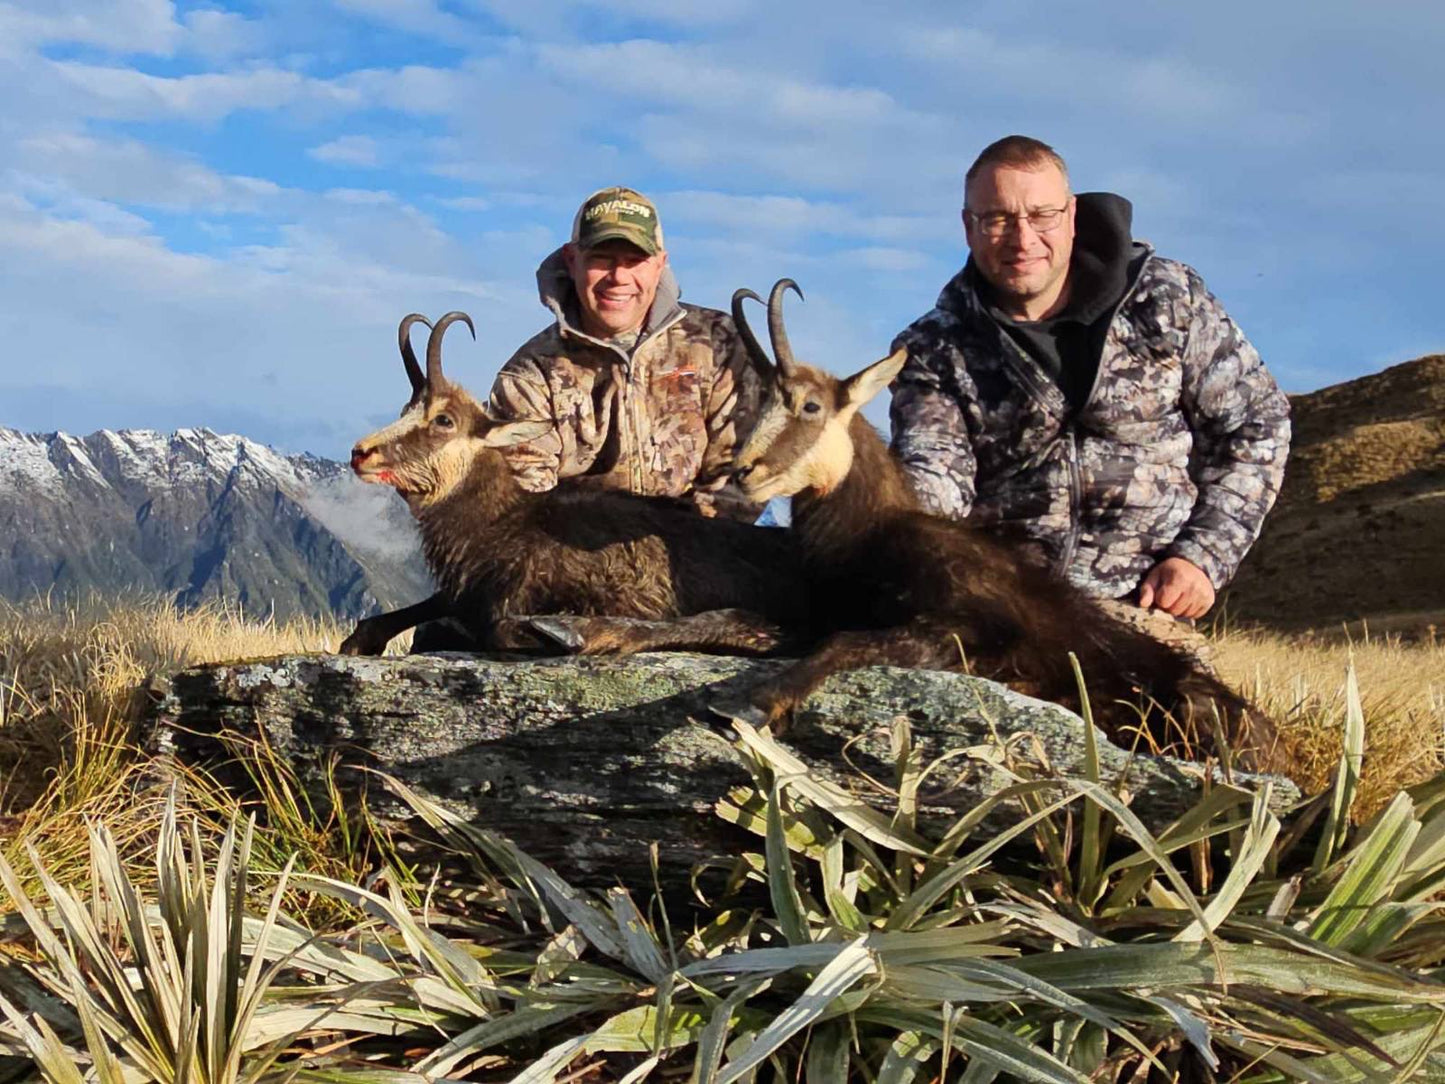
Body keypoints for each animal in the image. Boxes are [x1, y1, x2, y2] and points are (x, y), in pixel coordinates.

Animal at [338, 312, 814, 659]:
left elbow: (497, 628)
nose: (361, 453)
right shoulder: (467, 589)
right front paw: (361, 639)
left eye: (443, 420)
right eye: (405, 409)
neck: (500, 524)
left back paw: (576, 632)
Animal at [722, 280, 1288, 772]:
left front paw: (757, 702)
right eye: (763, 402)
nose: (742, 471)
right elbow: (745, 621)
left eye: (810, 406)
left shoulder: (968, 633)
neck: (873, 536)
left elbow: (844, 644)